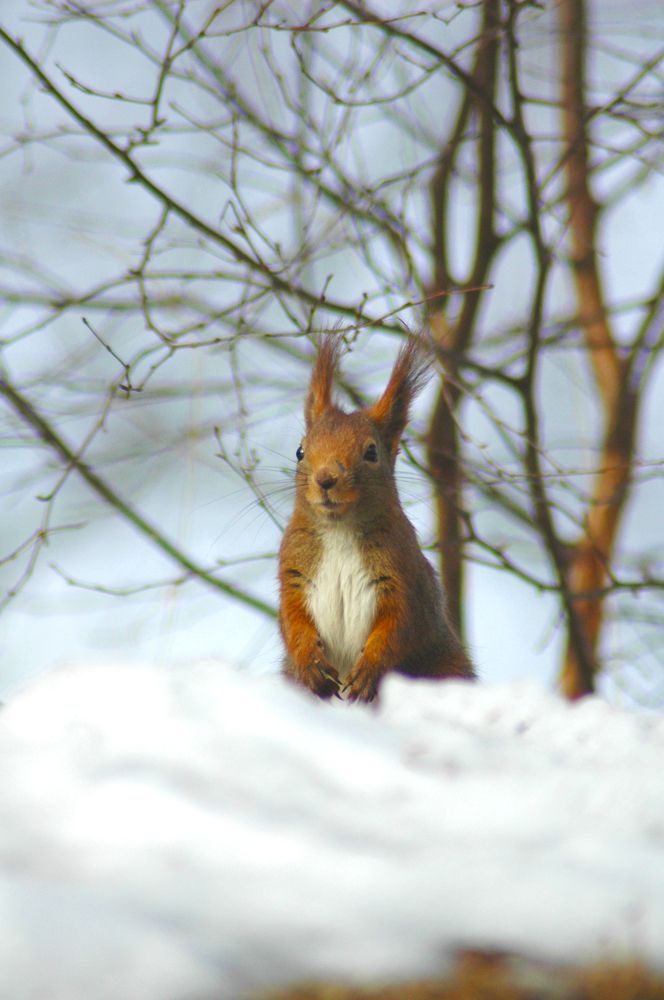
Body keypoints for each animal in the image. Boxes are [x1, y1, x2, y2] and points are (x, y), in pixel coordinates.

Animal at [278, 336, 475, 702]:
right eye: (300, 451)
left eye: (371, 452)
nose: (325, 479)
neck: (339, 530)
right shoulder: (294, 573)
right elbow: (292, 621)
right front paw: (311, 663)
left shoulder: (404, 578)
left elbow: (398, 628)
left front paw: (367, 671)